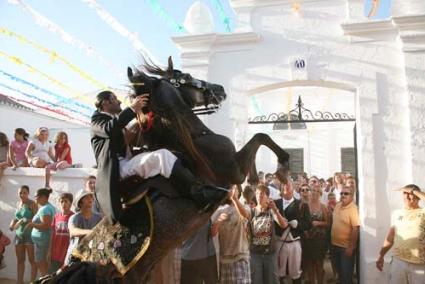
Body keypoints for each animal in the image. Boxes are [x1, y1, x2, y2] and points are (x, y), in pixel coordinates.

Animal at [43, 56, 288, 282]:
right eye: (186, 76)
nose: (219, 89)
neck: (196, 138)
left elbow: (259, 139)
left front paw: (261, 179)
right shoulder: (233, 169)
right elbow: (260, 137)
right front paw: (282, 170)